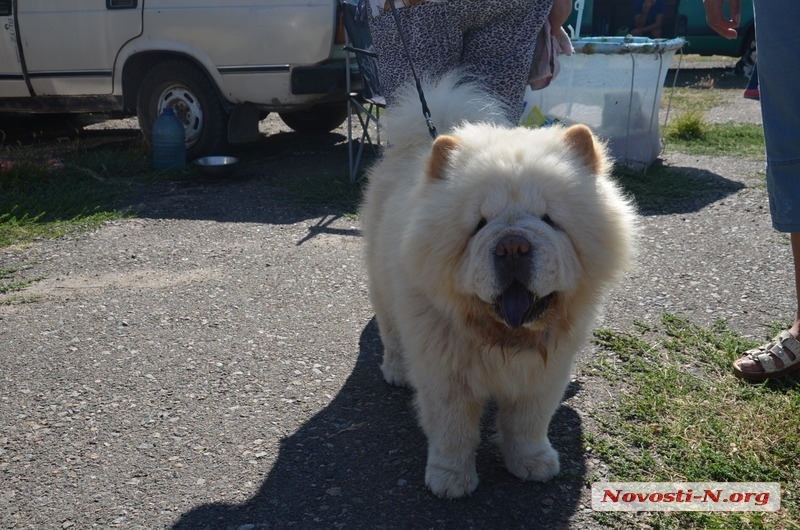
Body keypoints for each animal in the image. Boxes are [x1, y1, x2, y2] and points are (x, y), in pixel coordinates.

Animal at [362, 72, 636, 498]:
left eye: (549, 219)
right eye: (480, 223)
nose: (512, 246)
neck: (504, 338)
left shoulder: (545, 374)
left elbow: (528, 423)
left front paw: (533, 463)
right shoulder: (444, 375)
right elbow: (452, 430)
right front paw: (450, 479)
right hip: (383, 290)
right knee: (390, 333)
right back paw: (396, 370)